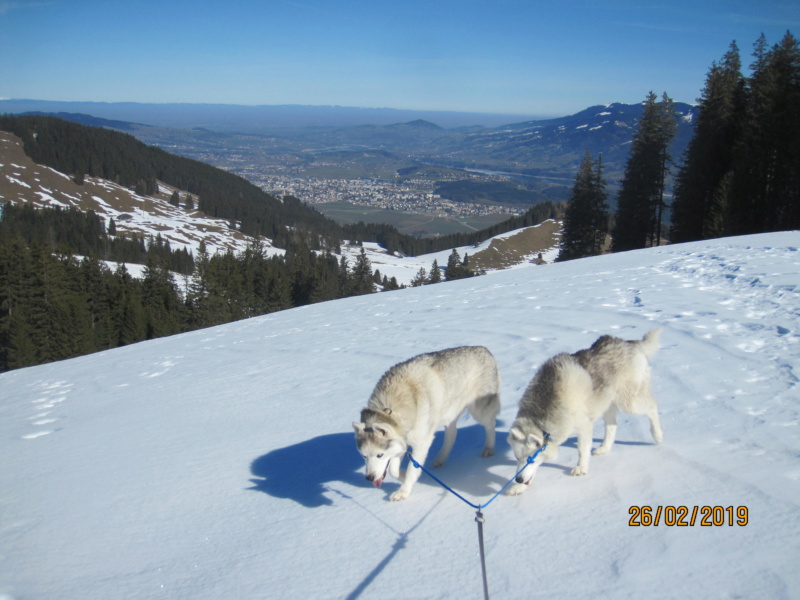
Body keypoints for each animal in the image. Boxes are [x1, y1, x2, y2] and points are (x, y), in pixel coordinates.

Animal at [352, 346, 500, 502]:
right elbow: (393, 470)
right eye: (363, 456)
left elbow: (412, 469)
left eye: (379, 455)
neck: (390, 409)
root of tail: (484, 349)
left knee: (490, 425)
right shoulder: (402, 442)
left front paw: (404, 490)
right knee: (452, 435)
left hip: (479, 411)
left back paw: (489, 448)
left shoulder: (421, 443)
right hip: (448, 414)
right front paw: (402, 476)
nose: (369, 478)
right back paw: (440, 459)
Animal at [506, 330, 664, 494]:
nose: (518, 479)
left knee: (652, 407)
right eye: (517, 458)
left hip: (629, 402)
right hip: (608, 405)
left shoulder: (584, 426)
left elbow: (582, 450)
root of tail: (628, 343)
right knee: (612, 426)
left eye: (531, 460)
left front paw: (581, 468)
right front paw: (519, 487)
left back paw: (657, 435)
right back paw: (604, 448)